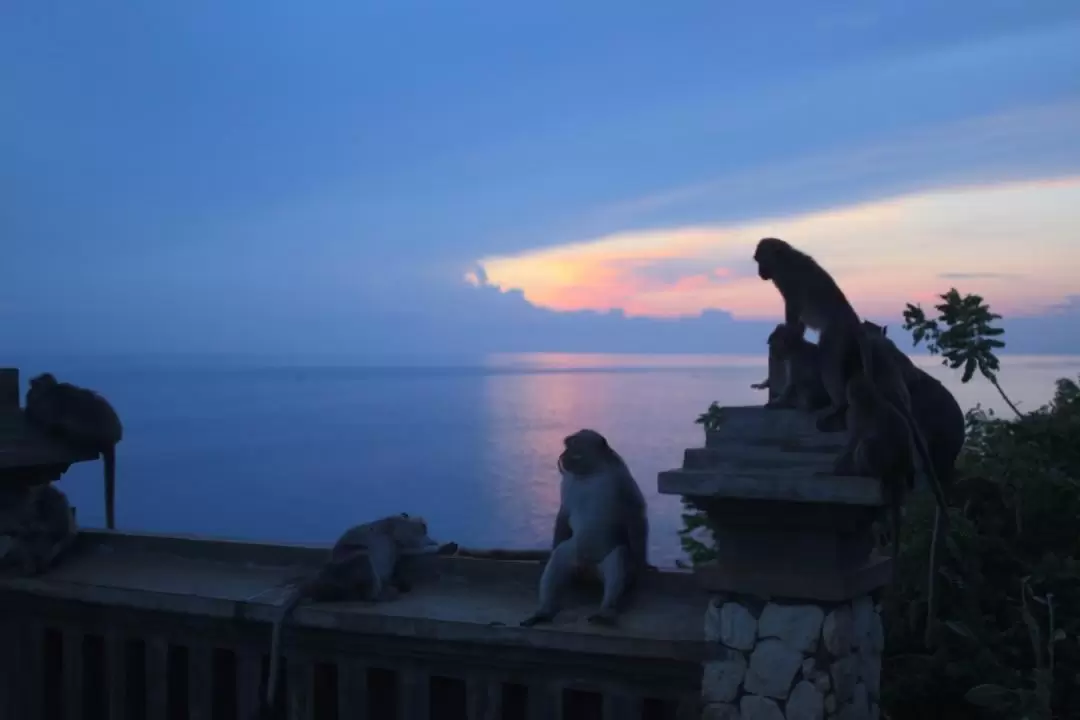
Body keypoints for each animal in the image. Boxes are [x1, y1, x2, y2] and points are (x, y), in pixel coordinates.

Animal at [24, 377, 123, 528]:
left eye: (31, 390)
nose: (28, 396)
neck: (49, 390)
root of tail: (111, 439)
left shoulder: (44, 407)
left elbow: (38, 414)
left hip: (86, 435)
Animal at [257, 515, 455, 716]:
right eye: (422, 525)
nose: (425, 526)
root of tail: (317, 582)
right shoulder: (399, 530)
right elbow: (408, 544)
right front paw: (441, 546)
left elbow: (406, 549)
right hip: (345, 573)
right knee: (362, 557)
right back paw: (383, 593)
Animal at [520, 431, 648, 626]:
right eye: (566, 445)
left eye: (572, 446)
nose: (562, 456)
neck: (590, 473)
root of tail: (587, 571)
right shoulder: (567, 482)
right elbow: (563, 515)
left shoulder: (622, 479)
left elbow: (635, 516)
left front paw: (642, 566)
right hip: (573, 556)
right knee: (558, 557)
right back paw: (544, 610)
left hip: (603, 559)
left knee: (618, 559)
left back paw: (605, 611)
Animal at [756, 239, 950, 537]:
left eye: (760, 261)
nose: (760, 273)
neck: (785, 259)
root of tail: (854, 321)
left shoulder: (789, 282)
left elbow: (795, 319)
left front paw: (788, 337)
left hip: (837, 335)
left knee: (828, 356)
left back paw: (838, 405)